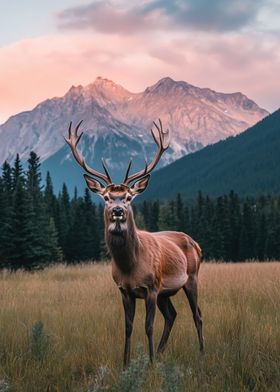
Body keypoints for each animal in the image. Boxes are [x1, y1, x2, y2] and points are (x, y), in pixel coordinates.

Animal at [65, 119, 203, 368]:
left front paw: (149, 364)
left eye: (129, 197)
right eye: (106, 197)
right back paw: (161, 353)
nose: (118, 210)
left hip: (192, 277)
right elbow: (128, 328)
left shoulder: (151, 287)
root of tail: (196, 244)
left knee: (197, 314)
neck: (130, 265)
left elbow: (148, 326)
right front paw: (127, 364)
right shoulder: (124, 290)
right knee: (172, 315)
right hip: (166, 292)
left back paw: (201, 353)